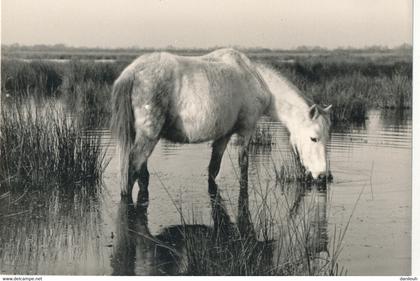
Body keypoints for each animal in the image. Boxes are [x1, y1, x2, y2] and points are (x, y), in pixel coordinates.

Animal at [111, 48, 332, 201]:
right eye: (314, 138)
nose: (322, 176)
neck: (255, 77)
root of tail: (132, 72)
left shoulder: (223, 135)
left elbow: (213, 169)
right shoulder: (246, 130)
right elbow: (244, 166)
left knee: (142, 175)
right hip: (149, 137)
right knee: (132, 169)